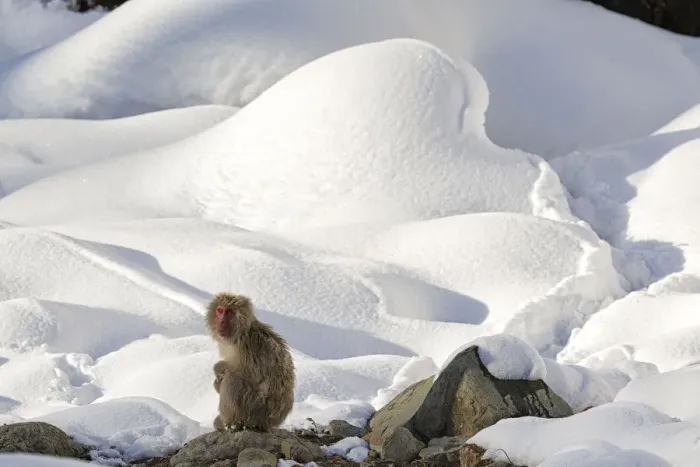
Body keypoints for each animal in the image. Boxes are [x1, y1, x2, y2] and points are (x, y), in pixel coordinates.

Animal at [206, 292, 295, 433]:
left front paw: (219, 370)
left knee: (232, 379)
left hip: (254, 409)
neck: (240, 334)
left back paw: (230, 424)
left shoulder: (249, 346)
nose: (221, 321)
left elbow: (248, 375)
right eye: (220, 310)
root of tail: (269, 423)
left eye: (230, 313)